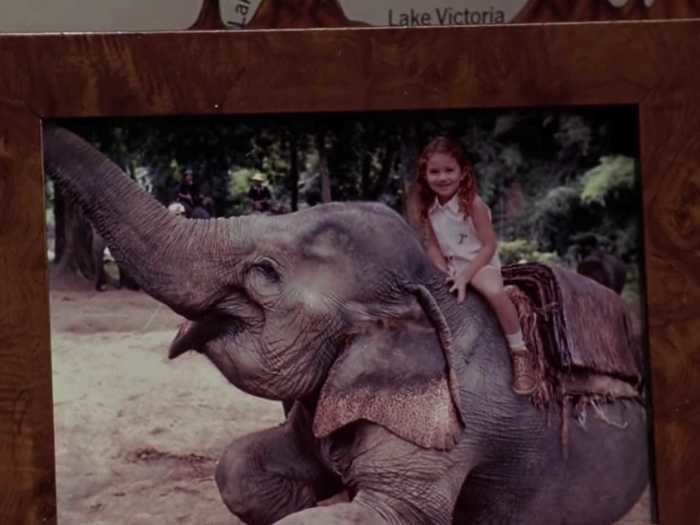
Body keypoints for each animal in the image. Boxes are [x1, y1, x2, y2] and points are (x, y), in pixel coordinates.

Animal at [45, 127, 652, 524]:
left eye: (264, 274)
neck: (430, 294)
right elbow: (238, 467)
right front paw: (327, 490)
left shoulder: (453, 431)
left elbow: (385, 513)